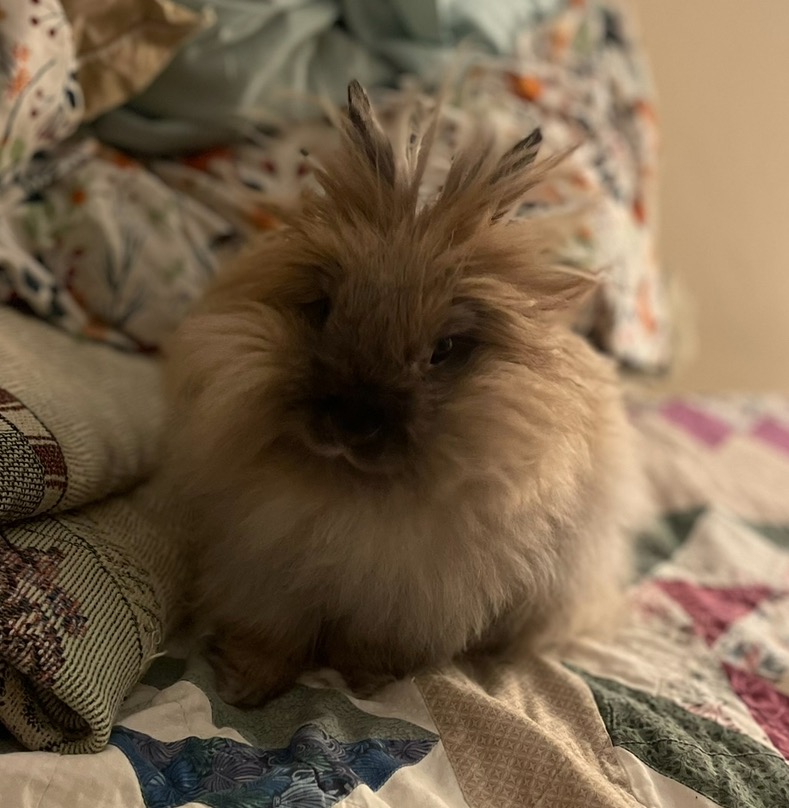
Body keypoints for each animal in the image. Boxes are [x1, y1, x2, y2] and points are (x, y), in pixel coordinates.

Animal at [162, 80, 647, 706]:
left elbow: (368, 647)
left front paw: (364, 683)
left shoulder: (406, 606)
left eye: (445, 350)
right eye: (321, 310)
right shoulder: (263, 578)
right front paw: (245, 687)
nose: (349, 423)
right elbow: (270, 636)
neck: (352, 493)